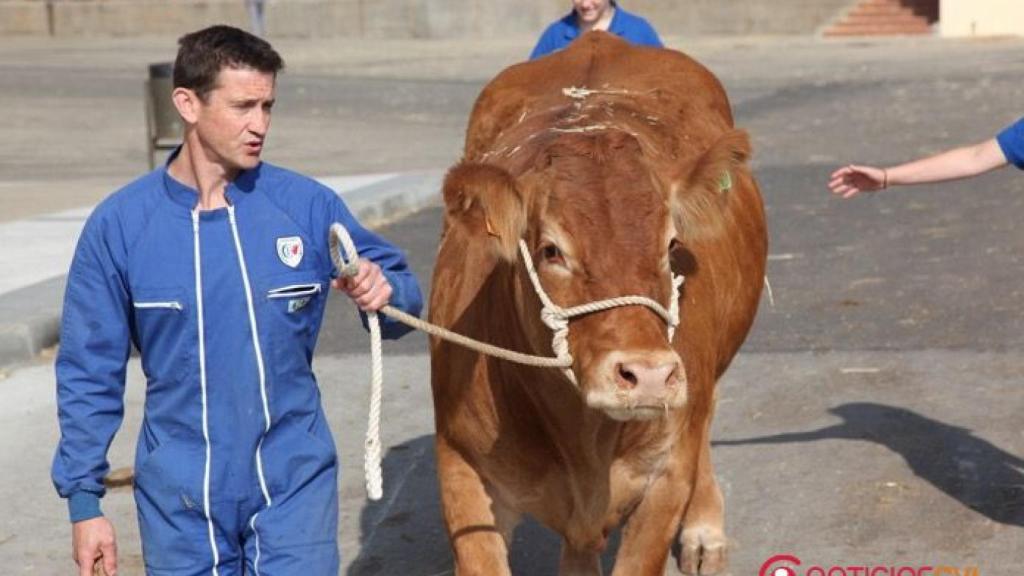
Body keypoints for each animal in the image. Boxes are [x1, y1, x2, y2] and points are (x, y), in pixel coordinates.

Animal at [425, 32, 770, 573]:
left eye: (671, 245)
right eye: (551, 250)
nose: (647, 374)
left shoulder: (667, 472)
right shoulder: (460, 464)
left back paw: (704, 530)